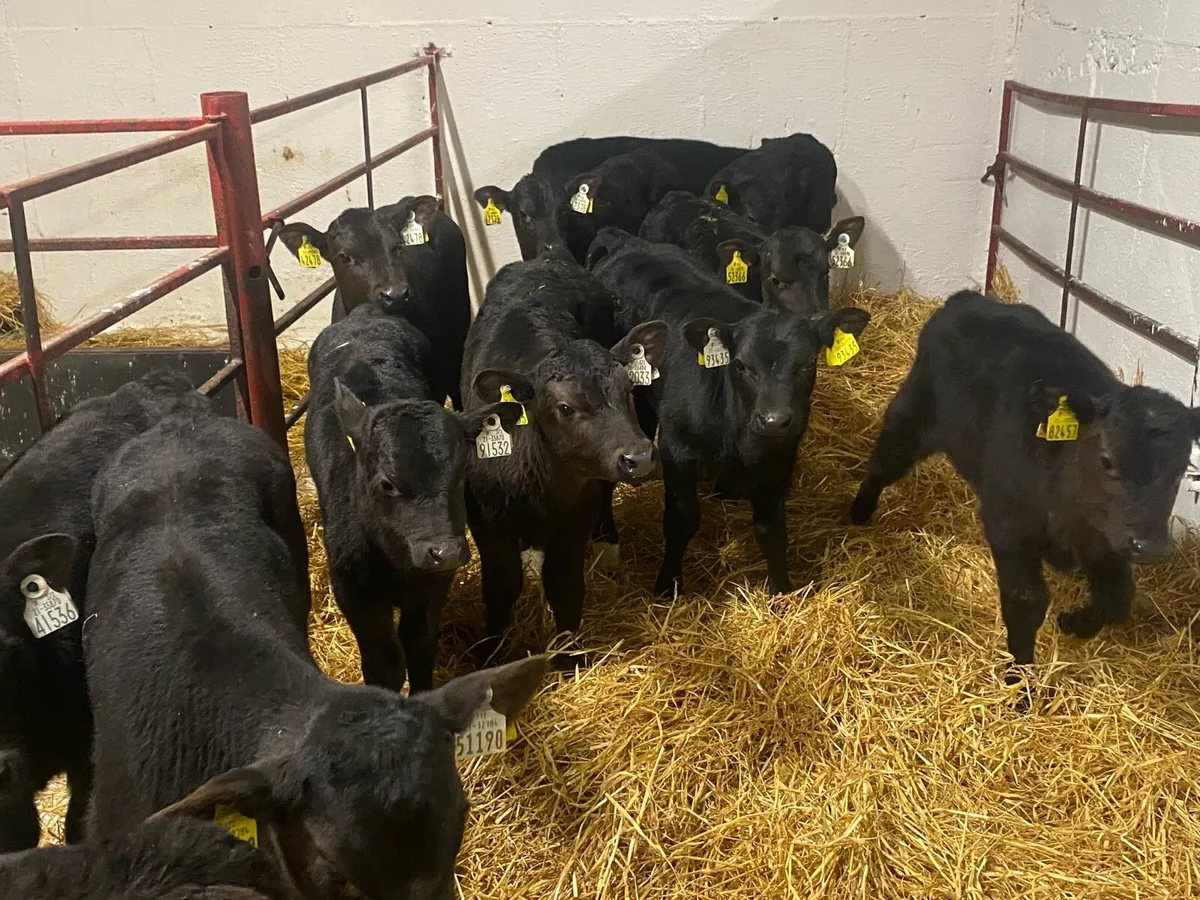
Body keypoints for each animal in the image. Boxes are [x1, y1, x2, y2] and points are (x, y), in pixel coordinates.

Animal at [306, 300, 523, 692]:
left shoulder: (433, 584)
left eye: (461, 474)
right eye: (386, 483)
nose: (444, 551)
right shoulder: (354, 591)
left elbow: (419, 644)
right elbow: (384, 663)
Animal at [461, 256, 669, 665]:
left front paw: (569, 658)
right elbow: (501, 587)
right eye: (565, 407)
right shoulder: (489, 527)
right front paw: (489, 656)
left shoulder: (574, 522)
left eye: (628, 390)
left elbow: (565, 585)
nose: (639, 457)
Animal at [588, 228, 870, 596]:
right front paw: (667, 585)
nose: (774, 420)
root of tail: (626, 242)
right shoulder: (679, 453)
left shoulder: (780, 458)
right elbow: (681, 520)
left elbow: (771, 529)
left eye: (808, 364)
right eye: (741, 365)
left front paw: (781, 590)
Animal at [850, 290, 1200, 672]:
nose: (1151, 546)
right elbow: (1026, 602)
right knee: (883, 465)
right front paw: (1019, 676)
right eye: (1107, 459)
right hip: (912, 416)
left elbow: (1117, 597)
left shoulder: (1105, 539)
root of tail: (967, 299)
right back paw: (858, 512)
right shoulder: (1010, 526)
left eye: (1183, 467)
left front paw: (1077, 623)